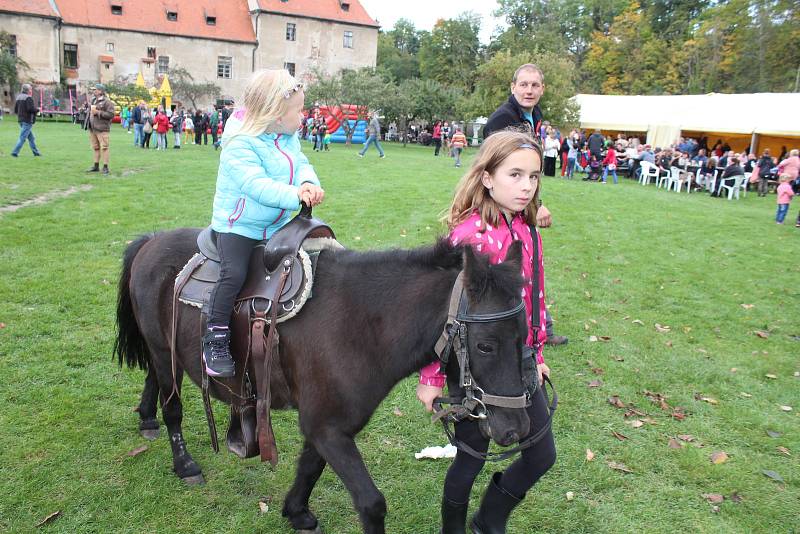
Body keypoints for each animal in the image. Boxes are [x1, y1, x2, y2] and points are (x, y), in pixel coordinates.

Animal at [114, 231, 532, 534]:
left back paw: (146, 418)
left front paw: (296, 512)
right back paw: (184, 463)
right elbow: (371, 503)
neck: (360, 322)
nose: (516, 428)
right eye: (485, 344)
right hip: (163, 351)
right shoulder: (326, 426)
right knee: (173, 408)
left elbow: (309, 466)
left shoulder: (327, 425)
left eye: (526, 335)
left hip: (165, 352)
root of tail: (152, 239)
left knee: (155, 382)